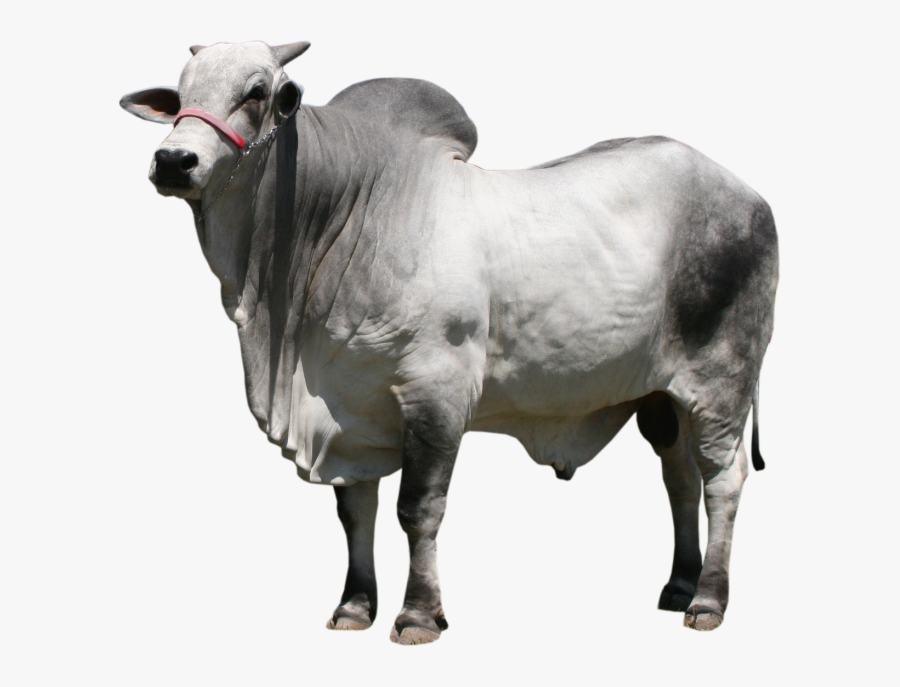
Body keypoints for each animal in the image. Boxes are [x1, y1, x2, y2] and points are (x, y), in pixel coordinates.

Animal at [120, 40, 778, 645]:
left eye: (257, 92)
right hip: (660, 396)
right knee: (679, 475)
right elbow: (355, 512)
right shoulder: (349, 407)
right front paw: (355, 606)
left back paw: (708, 601)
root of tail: (749, 194)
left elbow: (418, 508)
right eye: (181, 93)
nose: (174, 159)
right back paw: (679, 585)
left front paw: (418, 615)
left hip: (722, 380)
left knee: (723, 479)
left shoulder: (435, 393)